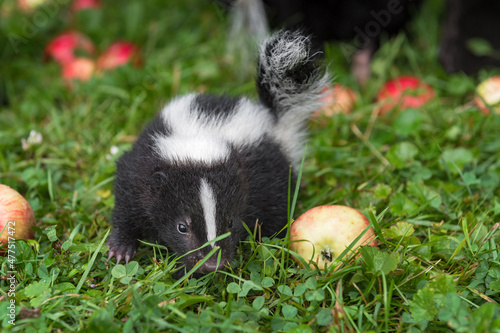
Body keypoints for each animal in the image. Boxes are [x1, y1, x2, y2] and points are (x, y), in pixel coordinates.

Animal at [106, 30, 328, 274]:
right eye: (182, 227)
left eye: (230, 222)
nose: (212, 263)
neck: (199, 133)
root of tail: (272, 121)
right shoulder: (141, 164)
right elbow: (127, 201)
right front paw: (121, 247)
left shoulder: (258, 175)